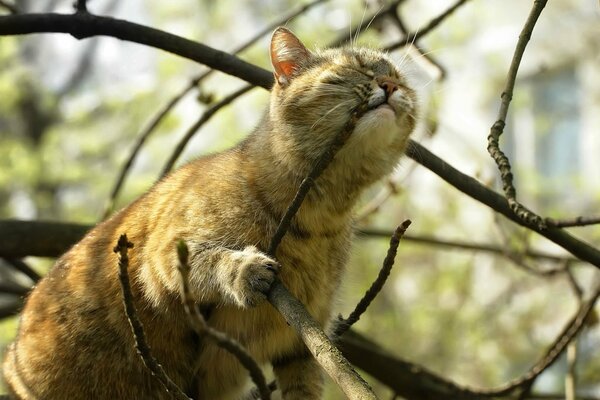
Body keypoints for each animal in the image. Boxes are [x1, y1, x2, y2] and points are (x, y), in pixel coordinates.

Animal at [2, 26, 418, 398]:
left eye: (400, 78)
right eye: (357, 69)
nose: (390, 85)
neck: (321, 213)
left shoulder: (300, 343)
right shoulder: (160, 256)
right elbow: (211, 260)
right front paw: (244, 269)